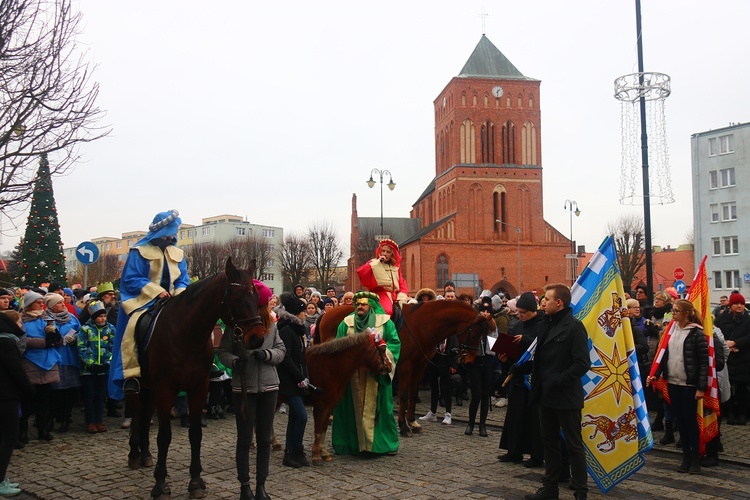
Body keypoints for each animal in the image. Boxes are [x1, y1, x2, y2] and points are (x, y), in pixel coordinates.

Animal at [124, 260, 264, 498]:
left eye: (255, 296)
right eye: (235, 295)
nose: (257, 338)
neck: (185, 336)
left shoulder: (198, 387)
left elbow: (195, 434)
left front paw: (196, 481)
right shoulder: (166, 389)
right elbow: (164, 436)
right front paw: (160, 484)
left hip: (151, 389)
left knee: (144, 415)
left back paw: (145, 454)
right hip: (139, 385)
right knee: (135, 414)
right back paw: (134, 453)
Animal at [304, 332, 390, 464]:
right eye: (382, 350)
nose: (389, 367)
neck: (329, 366)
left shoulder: (330, 404)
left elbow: (323, 426)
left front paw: (323, 452)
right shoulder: (320, 404)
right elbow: (318, 428)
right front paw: (316, 455)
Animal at [318, 300, 488, 438]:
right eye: (475, 333)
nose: (470, 359)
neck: (420, 326)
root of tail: (327, 314)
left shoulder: (420, 365)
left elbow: (413, 393)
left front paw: (412, 423)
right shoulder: (405, 365)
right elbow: (404, 395)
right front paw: (403, 426)